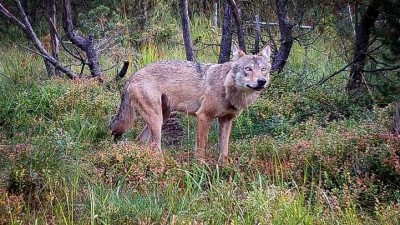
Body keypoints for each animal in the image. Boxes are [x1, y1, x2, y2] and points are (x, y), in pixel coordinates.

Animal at [109, 45, 272, 162]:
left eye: (263, 70)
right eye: (248, 69)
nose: (261, 81)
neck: (226, 87)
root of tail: (132, 76)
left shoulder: (226, 120)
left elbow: (224, 151)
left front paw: (223, 168)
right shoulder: (203, 117)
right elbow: (201, 149)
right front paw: (200, 169)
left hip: (162, 117)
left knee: (141, 140)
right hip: (157, 120)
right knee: (155, 146)